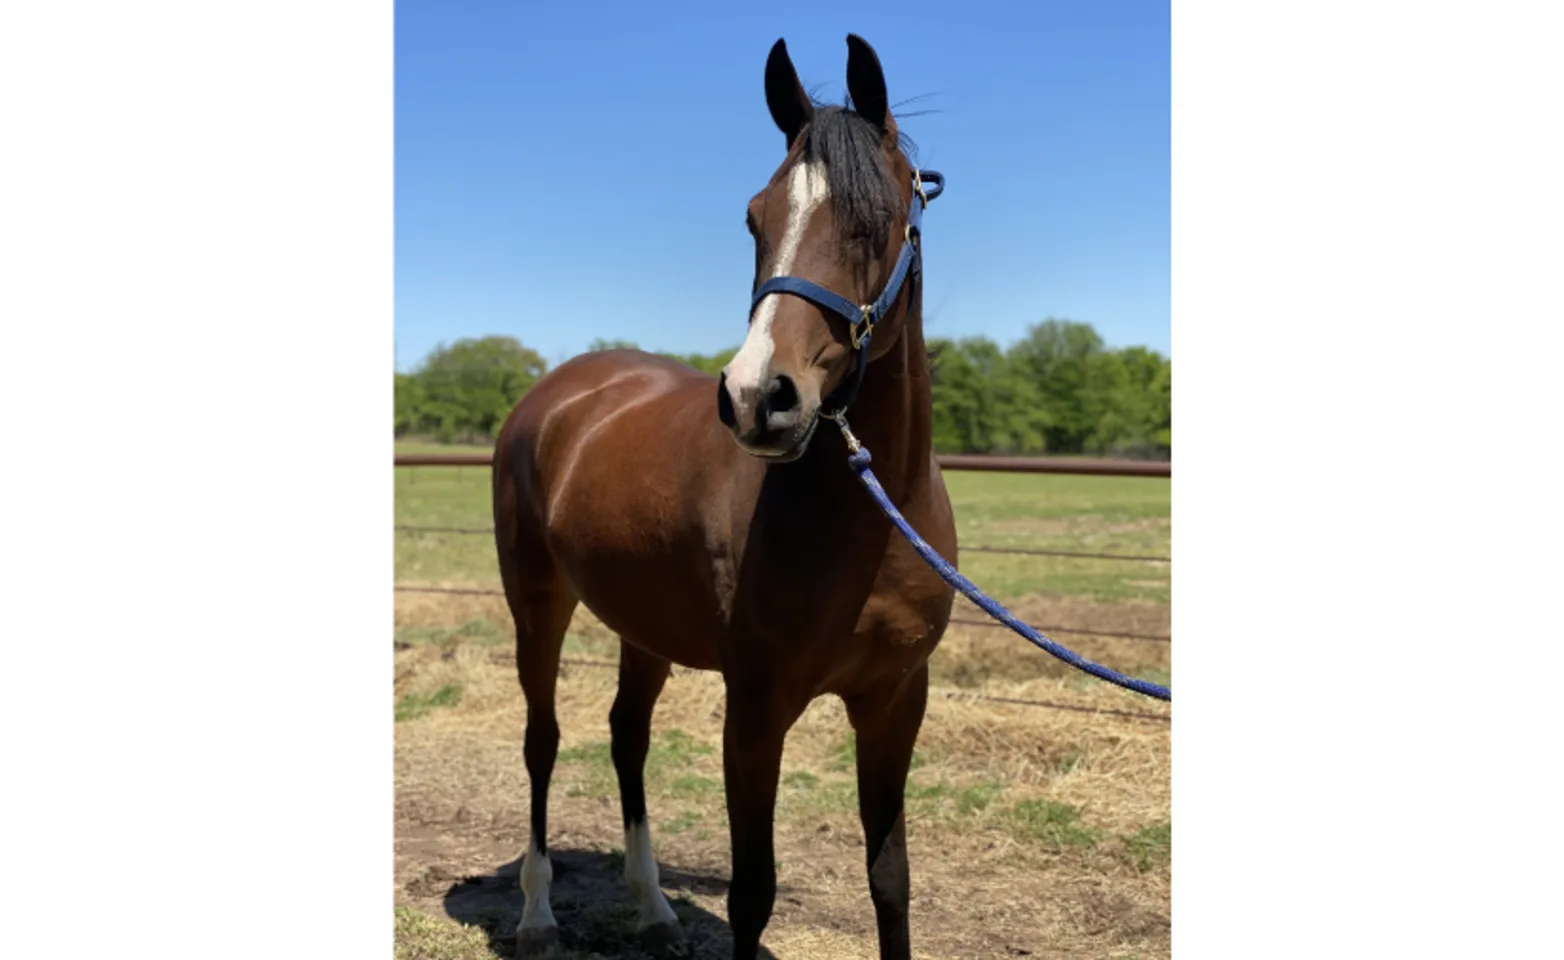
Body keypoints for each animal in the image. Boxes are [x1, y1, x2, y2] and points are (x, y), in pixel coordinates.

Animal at [491, 33, 950, 956]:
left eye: (877, 218)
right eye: (754, 218)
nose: (755, 397)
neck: (875, 518)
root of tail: (551, 397)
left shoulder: (895, 701)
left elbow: (890, 878)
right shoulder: (756, 707)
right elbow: (753, 893)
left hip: (642, 624)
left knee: (626, 736)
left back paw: (653, 905)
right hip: (538, 605)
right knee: (543, 740)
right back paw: (537, 913)